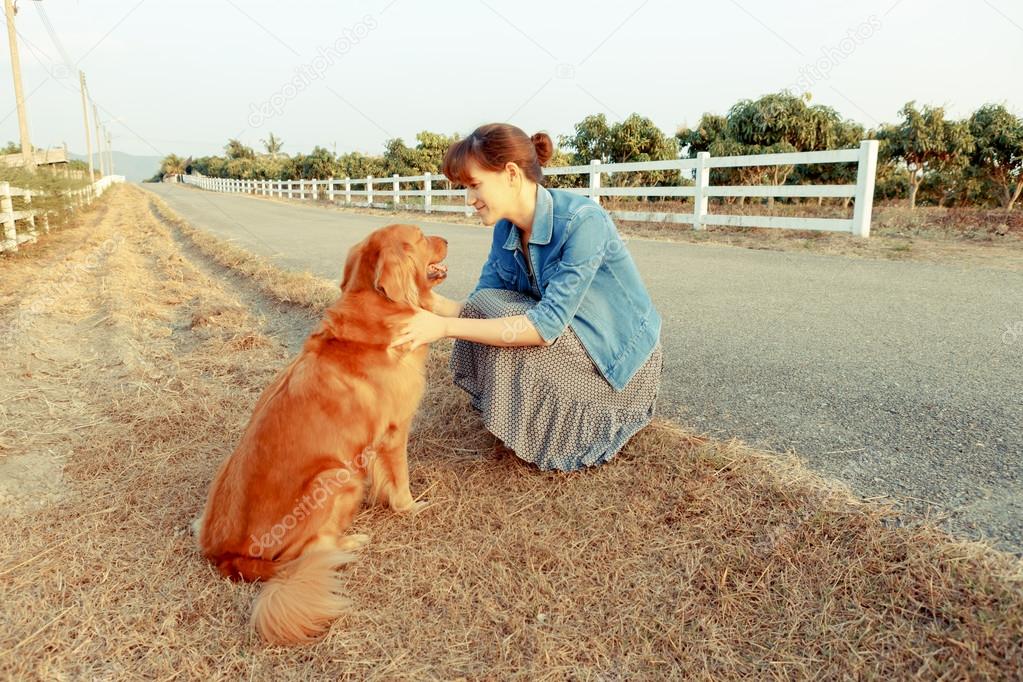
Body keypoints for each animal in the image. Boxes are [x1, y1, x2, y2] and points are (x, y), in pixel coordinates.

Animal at [192, 223, 448, 646]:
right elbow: (401, 482)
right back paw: (349, 542)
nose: (446, 238)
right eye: (420, 236)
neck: (377, 308)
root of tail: (227, 557)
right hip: (337, 477)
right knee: (311, 552)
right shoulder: (395, 433)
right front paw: (412, 507)